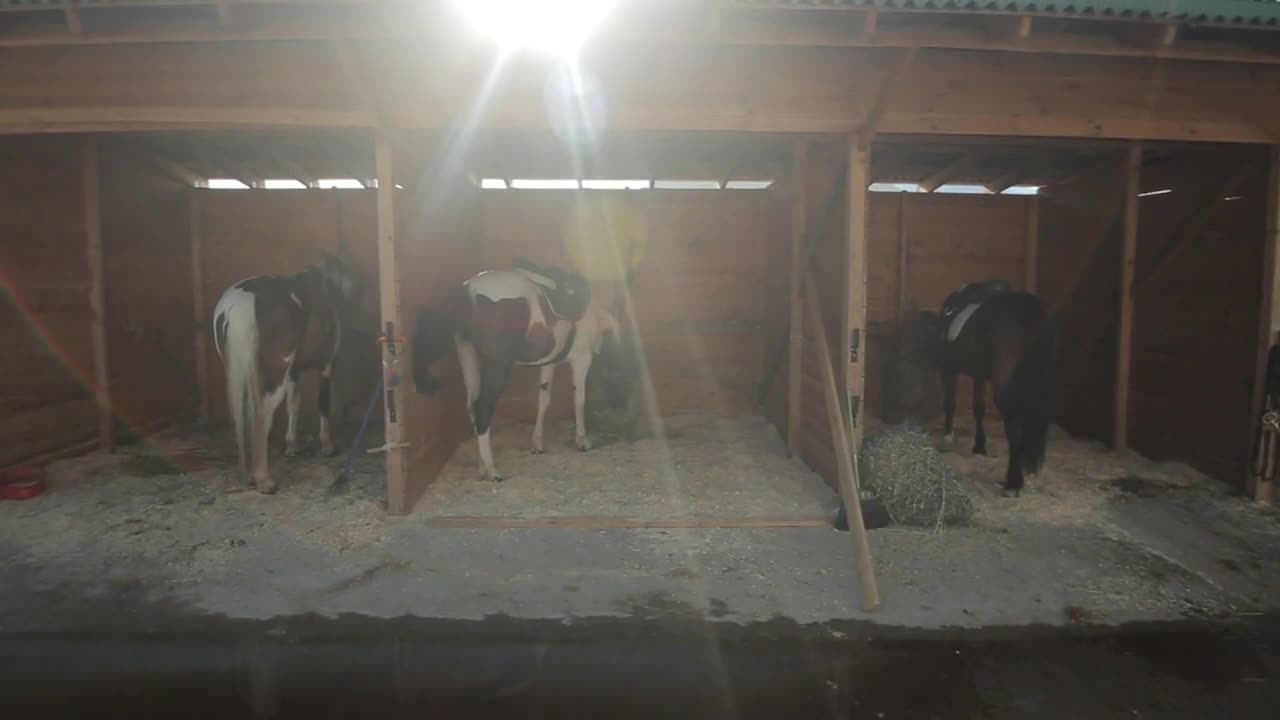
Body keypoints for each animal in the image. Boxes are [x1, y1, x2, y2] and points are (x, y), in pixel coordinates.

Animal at [211, 252, 360, 491]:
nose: (358, 290)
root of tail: (239, 306)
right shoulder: (326, 365)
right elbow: (323, 403)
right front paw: (327, 445)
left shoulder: (293, 372)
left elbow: (294, 404)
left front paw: (291, 447)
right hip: (274, 376)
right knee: (263, 416)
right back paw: (264, 479)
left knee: (241, 414)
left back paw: (248, 475)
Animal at [412, 254, 627, 479]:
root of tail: (467, 291)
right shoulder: (582, 358)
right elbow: (579, 399)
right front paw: (582, 440)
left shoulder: (549, 363)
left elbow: (543, 400)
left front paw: (537, 444)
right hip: (497, 368)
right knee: (483, 407)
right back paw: (492, 470)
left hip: (468, 357)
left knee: (472, 406)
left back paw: (482, 465)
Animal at [896, 279, 1054, 491]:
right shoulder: (979, 376)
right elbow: (978, 408)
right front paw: (979, 446)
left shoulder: (949, 370)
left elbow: (950, 403)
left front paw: (948, 436)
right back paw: (1033, 465)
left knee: (1013, 426)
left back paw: (1013, 481)